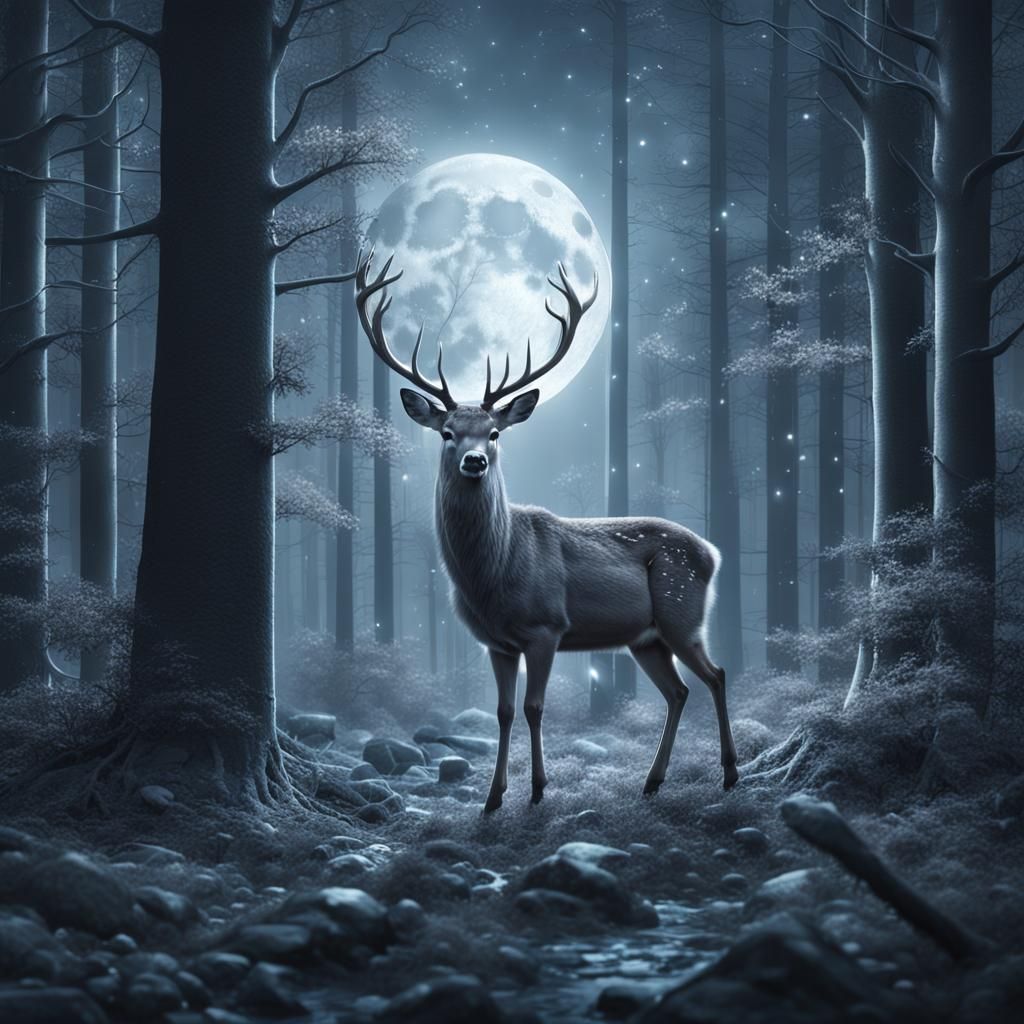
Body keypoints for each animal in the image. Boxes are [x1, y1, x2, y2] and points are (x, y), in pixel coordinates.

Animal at [355, 250, 738, 812]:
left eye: (494, 432)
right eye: (447, 433)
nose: (474, 460)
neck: (493, 575)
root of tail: (712, 552)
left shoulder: (547, 627)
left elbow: (535, 707)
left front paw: (537, 790)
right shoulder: (495, 643)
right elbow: (503, 712)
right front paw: (493, 798)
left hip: (681, 614)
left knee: (716, 675)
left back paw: (730, 773)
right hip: (646, 638)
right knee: (679, 690)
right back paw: (652, 781)